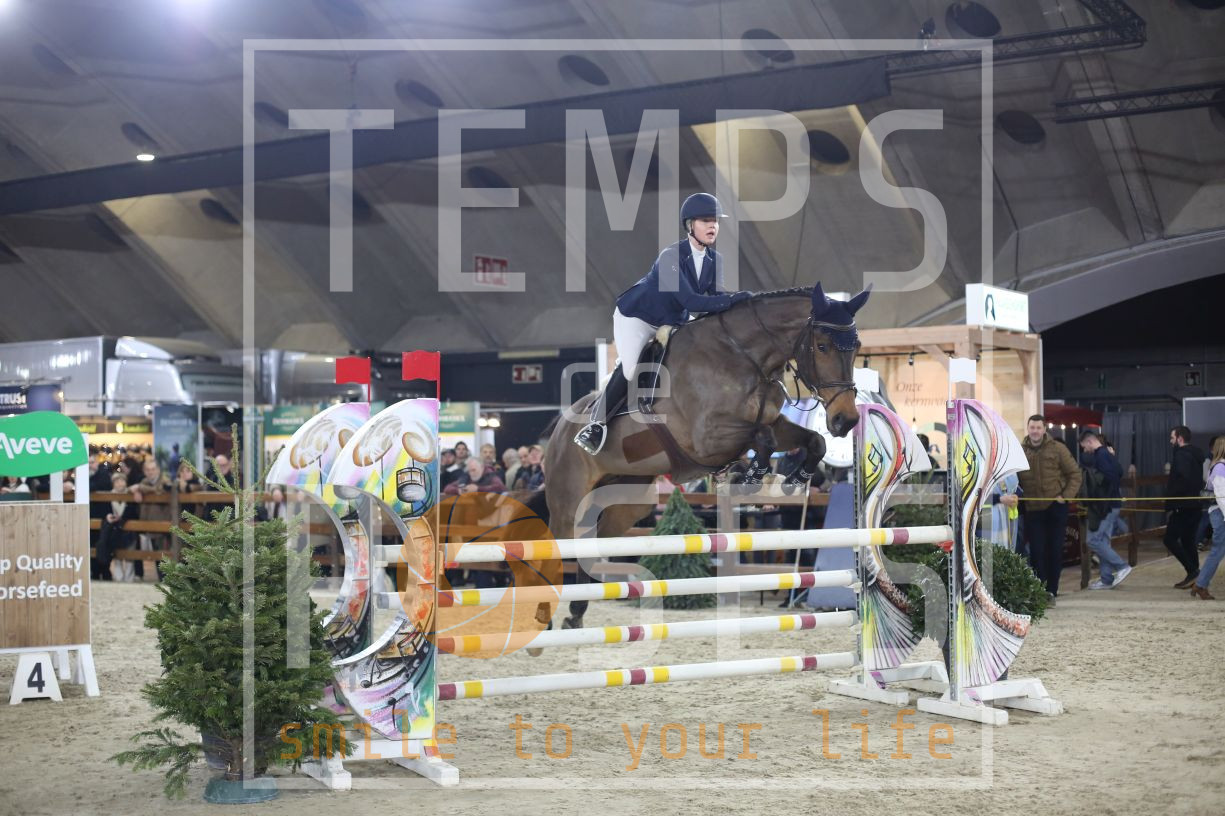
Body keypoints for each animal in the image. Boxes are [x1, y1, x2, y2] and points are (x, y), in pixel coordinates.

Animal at [529, 283, 870, 633]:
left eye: (856, 347)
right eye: (822, 346)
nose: (846, 421)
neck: (745, 357)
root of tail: (559, 429)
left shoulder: (773, 421)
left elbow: (813, 441)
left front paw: (793, 480)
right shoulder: (706, 437)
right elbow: (762, 437)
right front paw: (749, 476)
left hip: (625, 503)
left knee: (592, 544)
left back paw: (575, 614)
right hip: (568, 501)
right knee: (555, 546)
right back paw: (544, 615)